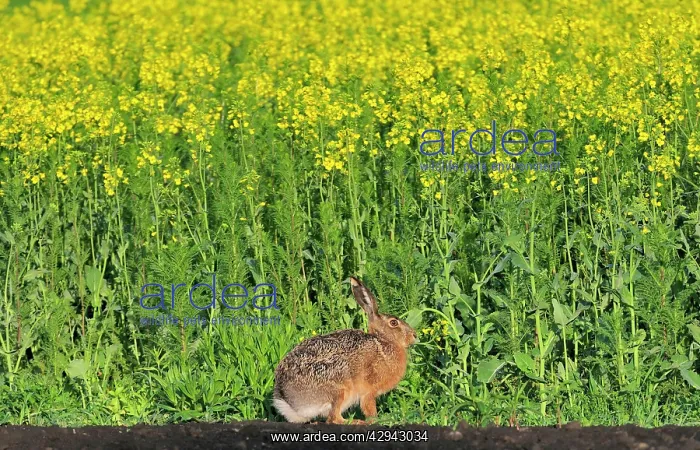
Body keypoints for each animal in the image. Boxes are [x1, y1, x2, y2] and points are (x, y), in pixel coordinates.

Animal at [272, 276, 418, 424]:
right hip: (340, 389)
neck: (383, 342)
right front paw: (376, 421)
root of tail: (289, 402)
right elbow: (369, 409)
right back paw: (358, 422)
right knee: (334, 418)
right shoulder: (368, 391)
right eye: (394, 322)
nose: (414, 335)